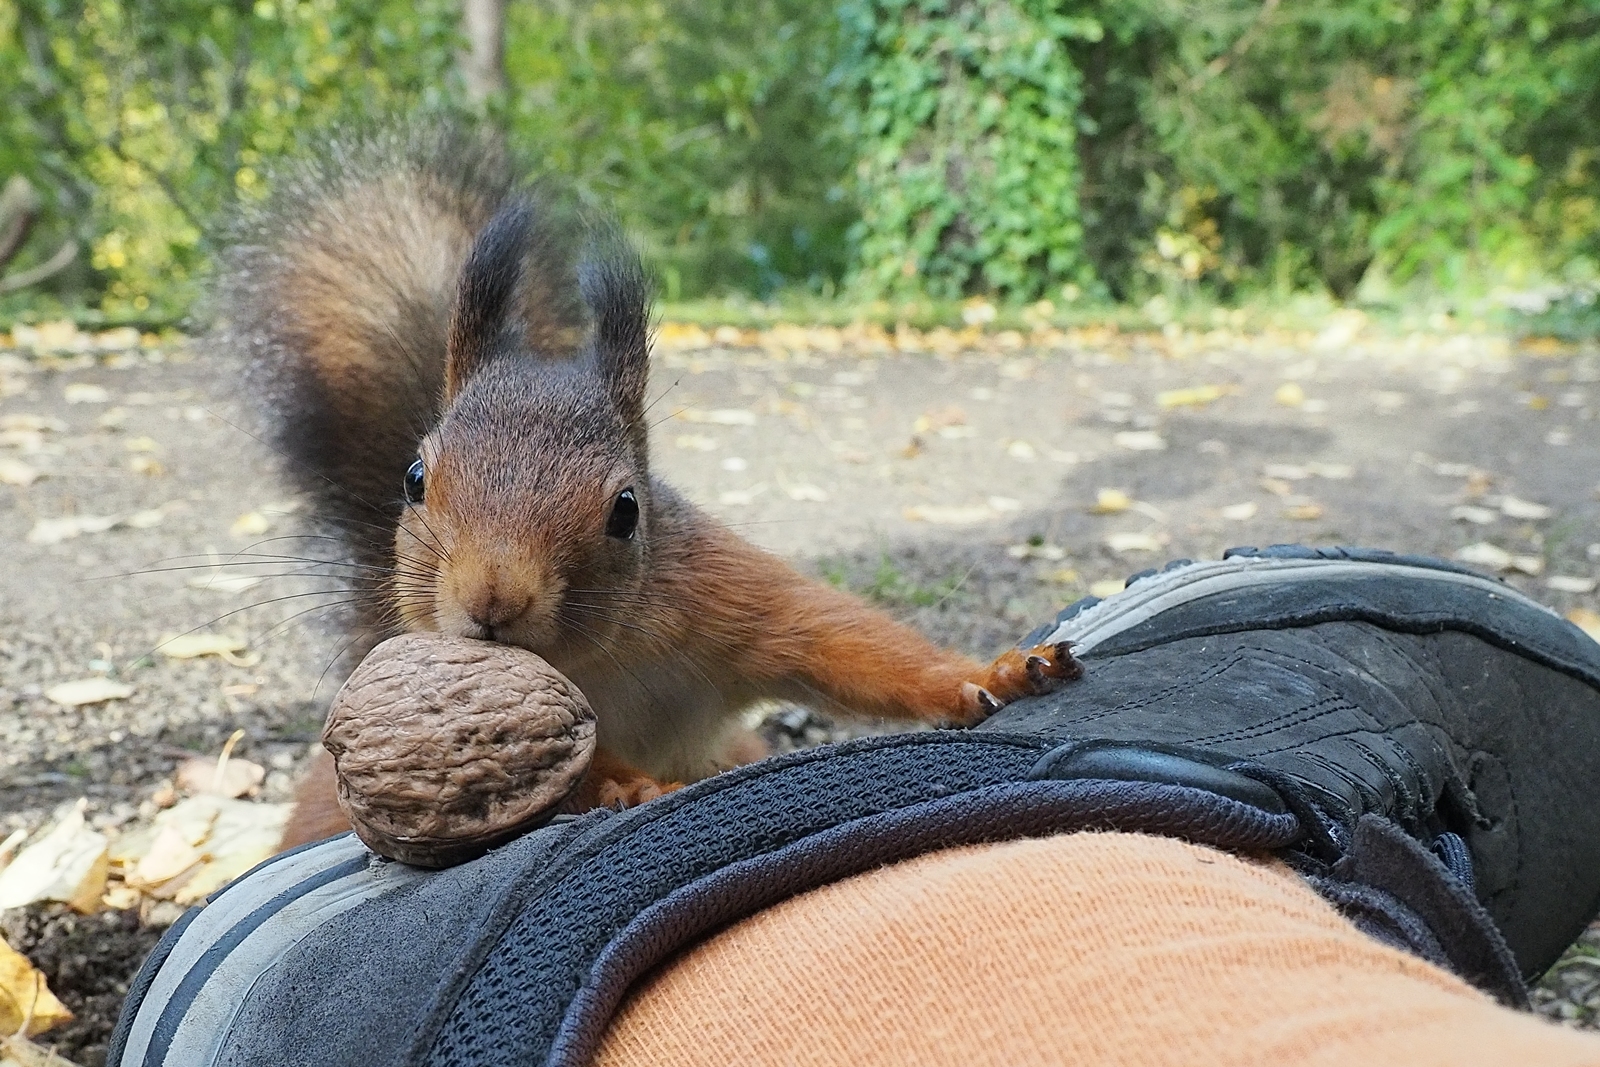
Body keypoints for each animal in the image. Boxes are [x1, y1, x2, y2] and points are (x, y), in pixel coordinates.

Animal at [219, 127, 1081, 851]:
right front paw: (630, 788)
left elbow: (846, 641)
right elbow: (564, 773)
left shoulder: (725, 592)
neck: (605, 658)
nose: (492, 599)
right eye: (415, 479)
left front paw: (991, 672)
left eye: (626, 510)